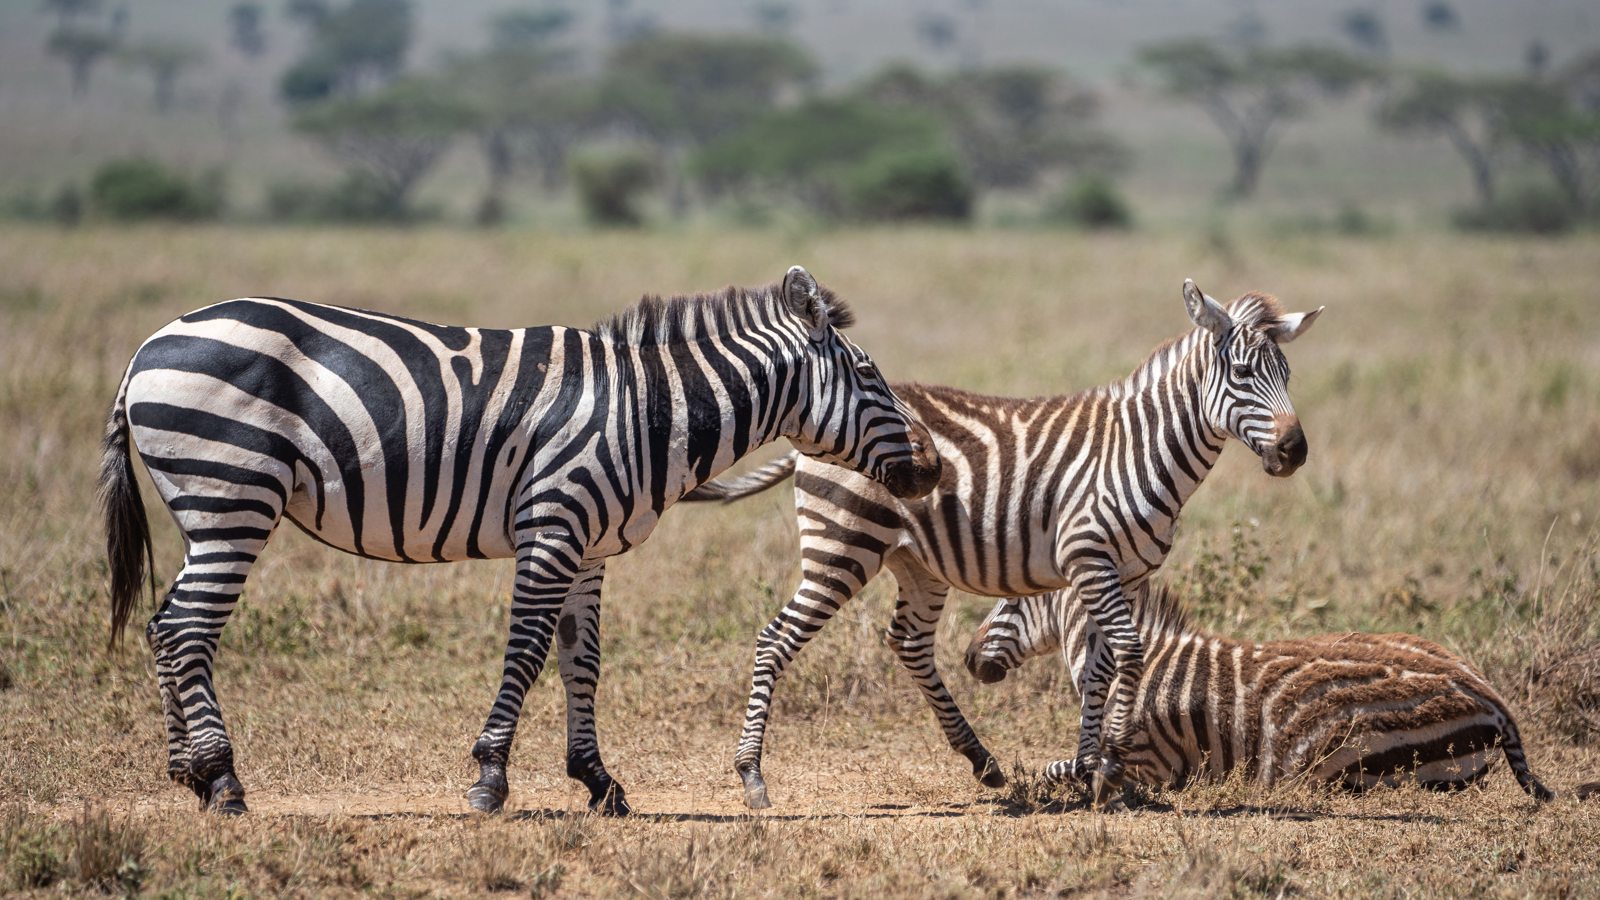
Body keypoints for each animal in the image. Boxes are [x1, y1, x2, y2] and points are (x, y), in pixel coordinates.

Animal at [100, 265, 942, 816]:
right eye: (871, 379)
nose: (932, 470)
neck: (647, 411)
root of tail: (145, 348)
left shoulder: (591, 547)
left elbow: (582, 660)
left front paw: (598, 781)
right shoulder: (554, 524)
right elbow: (528, 651)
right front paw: (490, 777)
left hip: (204, 506)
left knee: (163, 624)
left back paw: (186, 773)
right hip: (232, 493)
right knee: (189, 629)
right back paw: (222, 782)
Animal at [684, 279, 1323, 808]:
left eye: (1288, 375)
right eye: (1240, 374)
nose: (1294, 451)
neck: (1144, 447)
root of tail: (811, 433)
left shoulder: (1124, 572)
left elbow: (1100, 666)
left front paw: (1091, 772)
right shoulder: (1089, 558)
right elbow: (1129, 651)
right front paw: (1112, 763)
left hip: (917, 562)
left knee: (909, 642)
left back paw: (982, 761)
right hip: (843, 544)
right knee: (776, 639)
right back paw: (752, 775)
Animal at [964, 582, 1559, 802]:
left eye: (1008, 600)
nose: (967, 658)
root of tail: (1493, 699)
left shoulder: (1153, 765)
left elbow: (1065, 768)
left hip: (1350, 760)